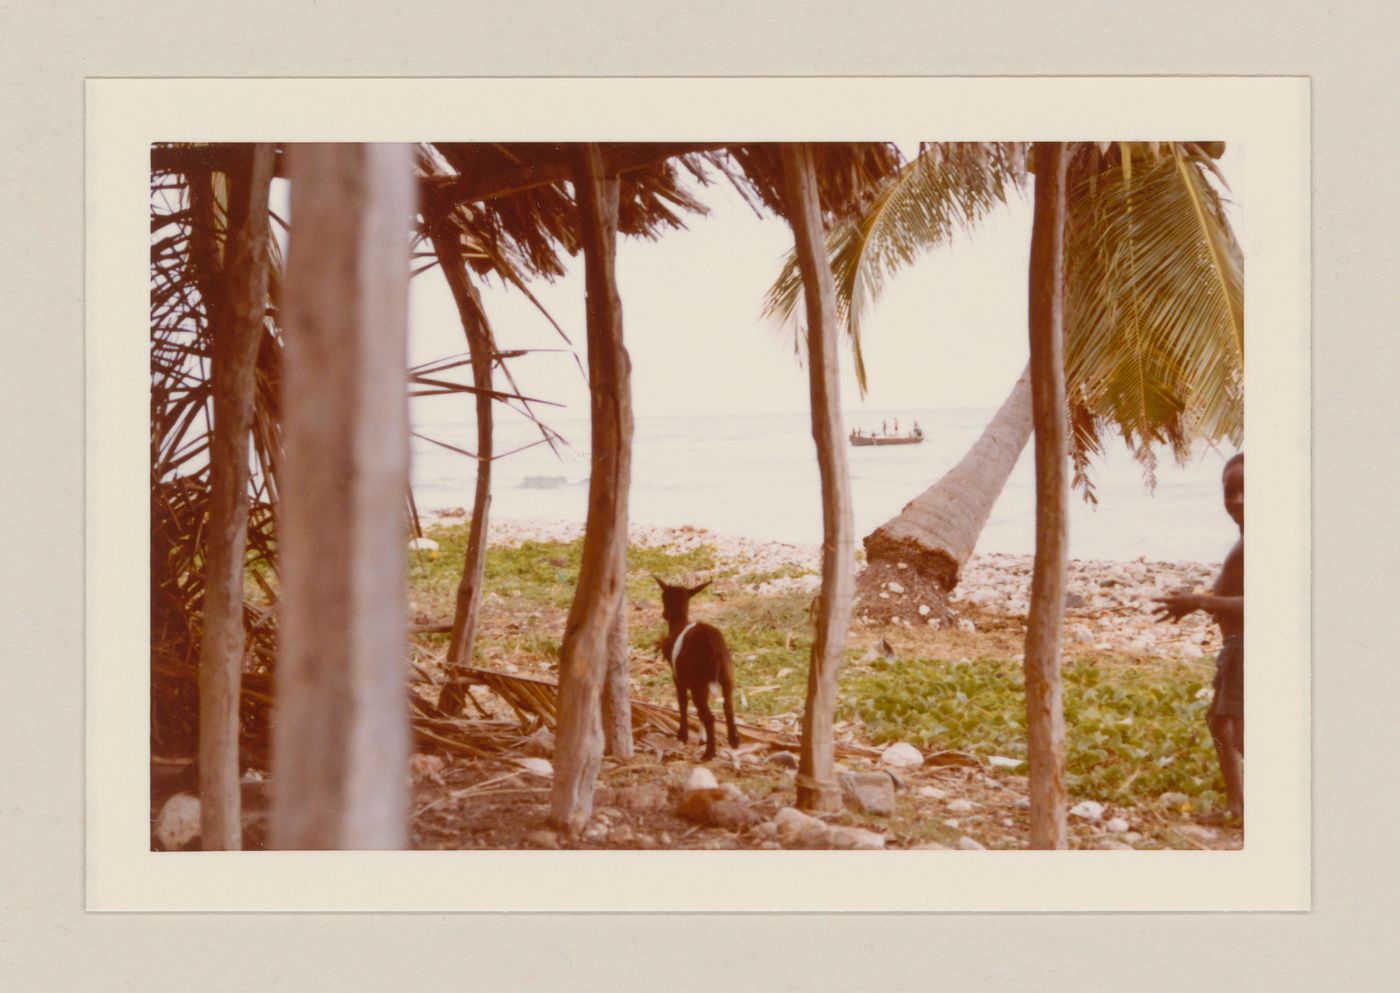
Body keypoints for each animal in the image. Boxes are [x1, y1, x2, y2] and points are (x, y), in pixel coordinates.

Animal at [652, 574, 739, 761]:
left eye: (663, 597)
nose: (664, 615)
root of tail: (713, 648)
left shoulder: (678, 678)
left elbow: (683, 703)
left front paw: (683, 735)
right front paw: (701, 739)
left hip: (697, 682)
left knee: (709, 716)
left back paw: (709, 753)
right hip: (726, 676)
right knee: (728, 707)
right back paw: (734, 740)